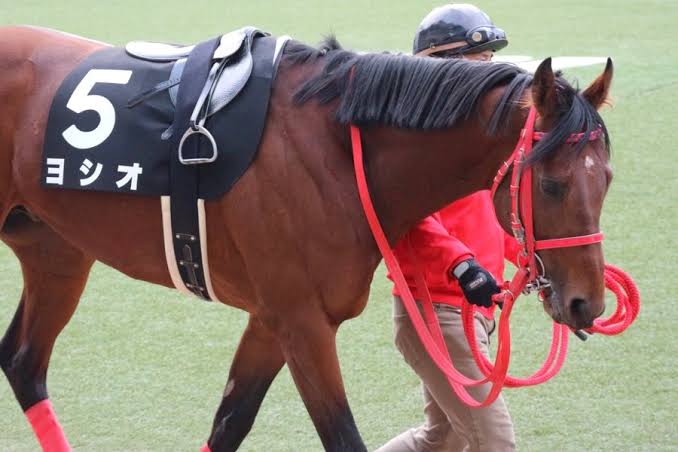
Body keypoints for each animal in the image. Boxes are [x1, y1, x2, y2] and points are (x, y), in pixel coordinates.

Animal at [0, 26, 613, 451]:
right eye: (553, 184)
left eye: (606, 177)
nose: (587, 302)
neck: (336, 148)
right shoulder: (302, 322)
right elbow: (340, 436)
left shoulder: (272, 319)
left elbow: (230, 421)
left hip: (55, 247)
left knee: (24, 361)